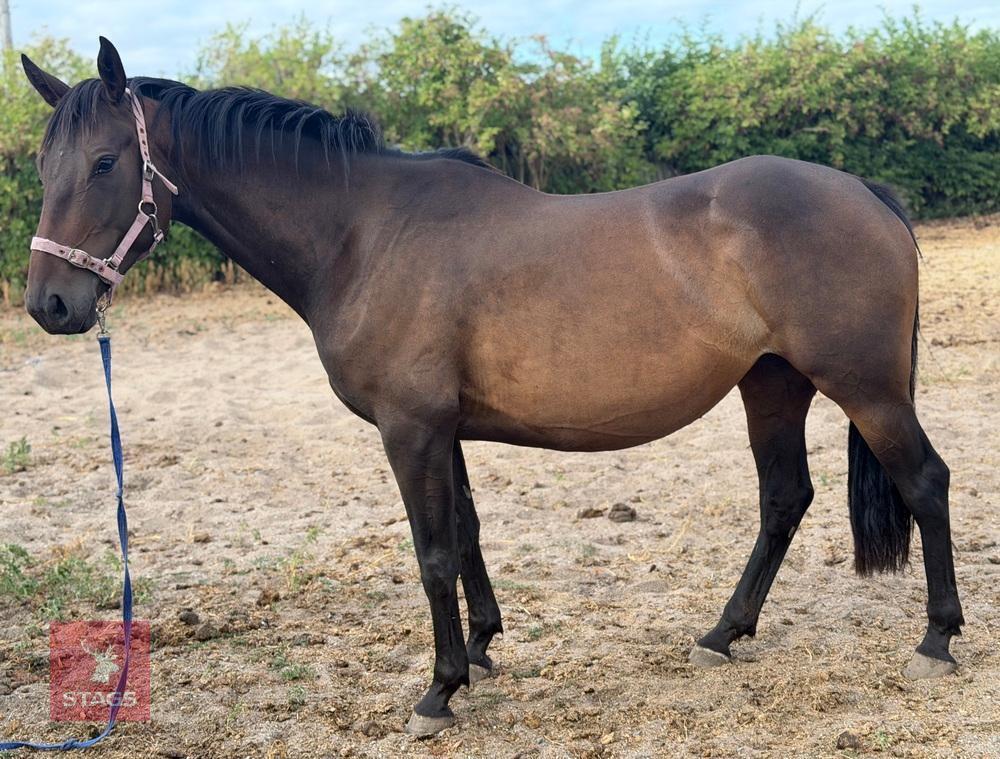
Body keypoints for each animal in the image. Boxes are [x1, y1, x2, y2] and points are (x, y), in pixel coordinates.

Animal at [19, 38, 963, 735]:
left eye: (104, 161)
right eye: (42, 164)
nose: (50, 304)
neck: (363, 235)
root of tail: (862, 191)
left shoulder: (410, 430)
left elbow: (433, 551)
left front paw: (437, 691)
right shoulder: (444, 430)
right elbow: (467, 534)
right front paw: (479, 650)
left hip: (865, 387)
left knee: (924, 481)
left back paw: (936, 638)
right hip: (773, 385)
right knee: (784, 499)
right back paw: (722, 633)